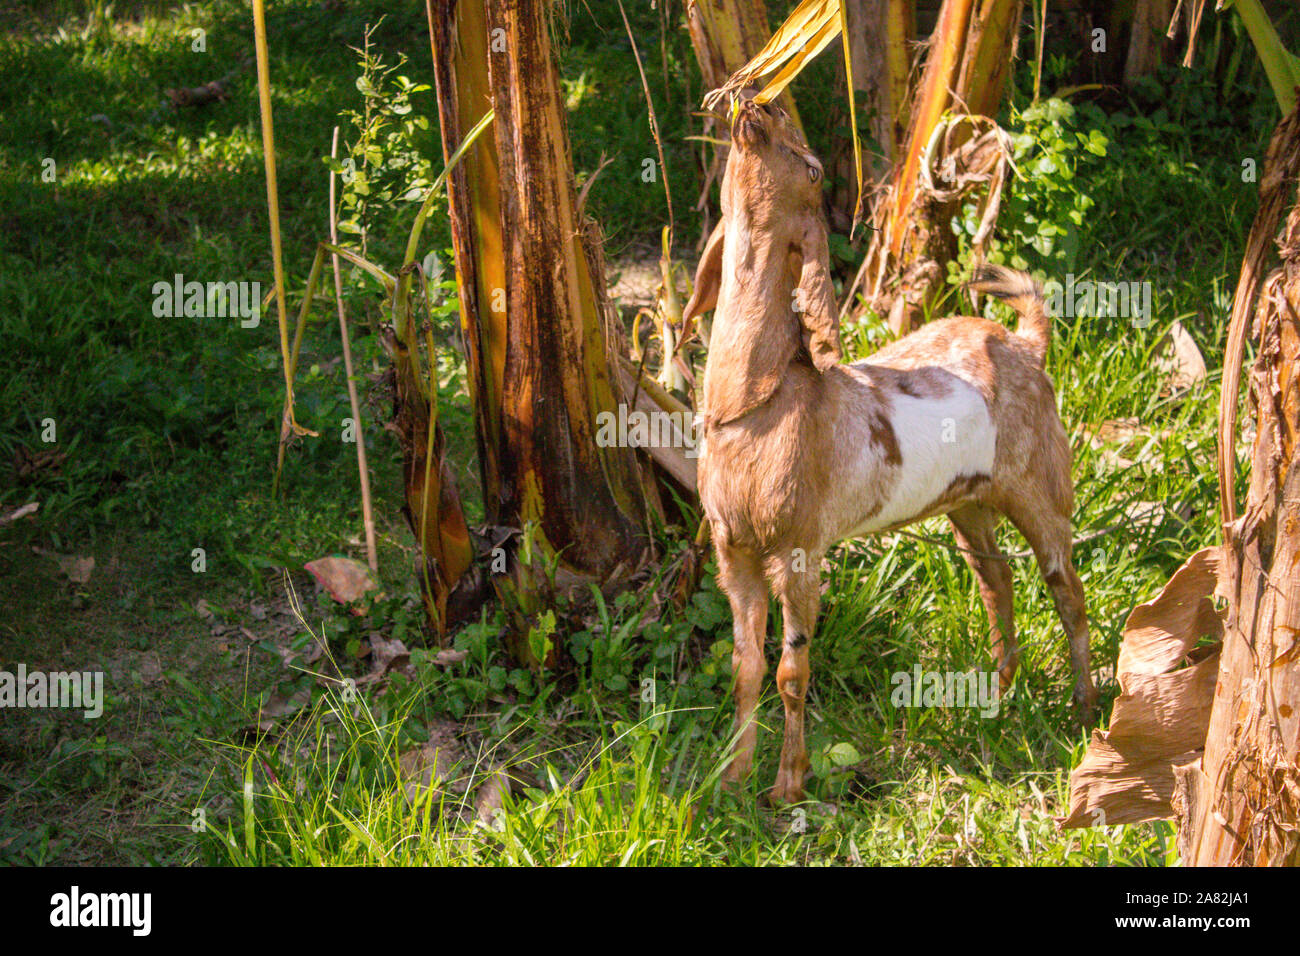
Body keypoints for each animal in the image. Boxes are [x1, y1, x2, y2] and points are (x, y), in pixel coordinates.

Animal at [682, 97, 1099, 804]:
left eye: (814, 168)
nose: (762, 103)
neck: (758, 403)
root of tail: (1028, 344)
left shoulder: (801, 546)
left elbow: (792, 668)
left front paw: (787, 786)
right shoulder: (733, 551)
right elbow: (745, 666)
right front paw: (732, 782)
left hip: (1040, 486)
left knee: (1066, 588)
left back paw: (1086, 711)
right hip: (968, 501)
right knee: (997, 580)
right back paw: (997, 696)